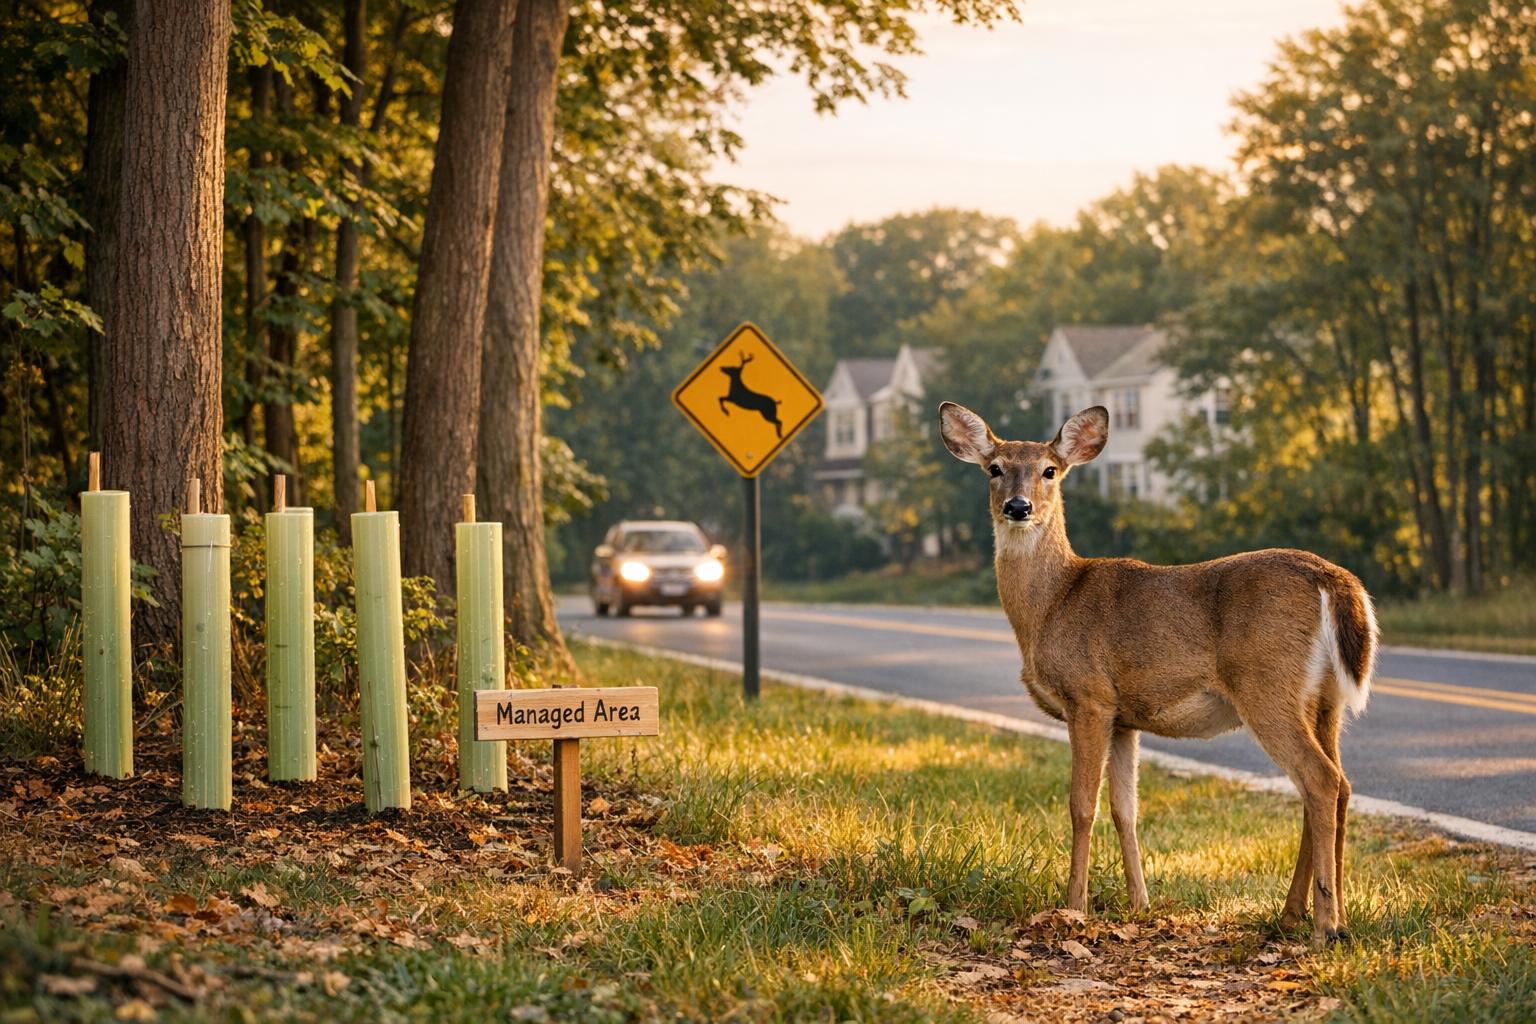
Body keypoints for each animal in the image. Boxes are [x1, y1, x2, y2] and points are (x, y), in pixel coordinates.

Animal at [938, 402, 1377, 948]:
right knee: (1339, 786)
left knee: (1319, 779)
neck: (1051, 604)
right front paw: (1139, 903)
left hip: (1267, 684)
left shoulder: (1088, 696)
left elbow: (1081, 805)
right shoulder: (1125, 717)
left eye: (1050, 470)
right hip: (1325, 699)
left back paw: (1324, 926)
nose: (1018, 507)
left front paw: (1074, 907)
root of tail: (1334, 581)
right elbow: (1126, 808)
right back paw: (1306, 916)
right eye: (994, 469)